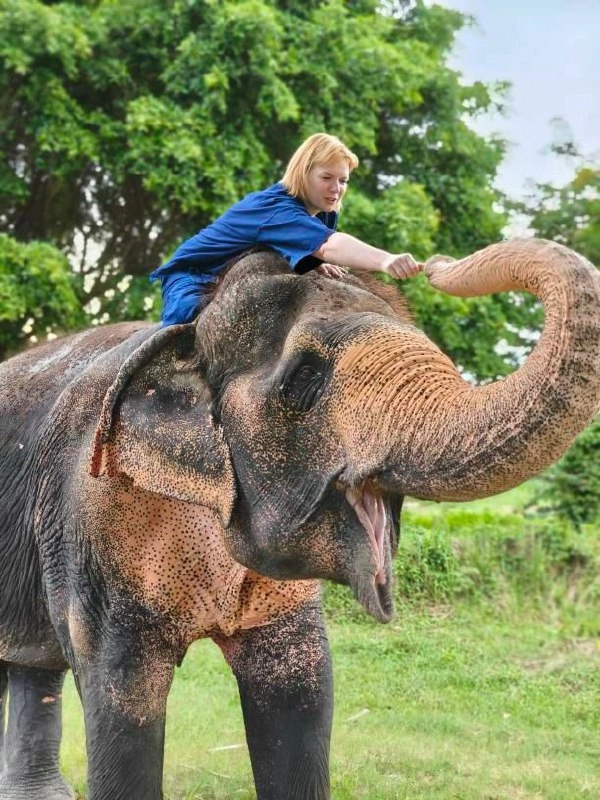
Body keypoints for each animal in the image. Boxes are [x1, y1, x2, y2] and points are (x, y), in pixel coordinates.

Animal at [1, 238, 600, 800]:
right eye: (305, 378)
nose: (431, 264)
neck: (193, 331)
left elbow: (300, 690)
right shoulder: (91, 520)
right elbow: (122, 691)